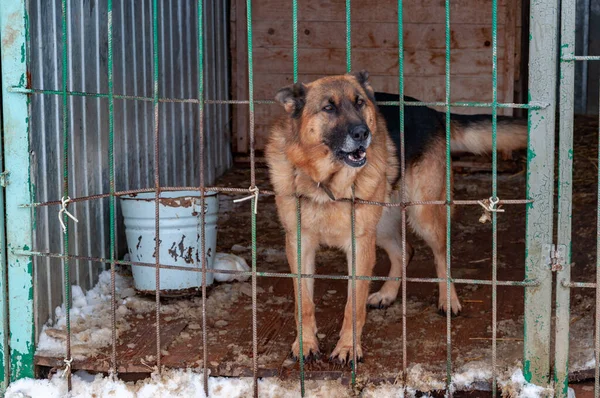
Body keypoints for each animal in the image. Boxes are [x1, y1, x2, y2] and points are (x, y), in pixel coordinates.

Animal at [264, 70, 528, 364]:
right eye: (328, 108)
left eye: (359, 103)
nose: (363, 133)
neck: (327, 183)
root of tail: (433, 112)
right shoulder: (299, 245)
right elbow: (304, 303)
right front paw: (306, 343)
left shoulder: (359, 246)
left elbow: (353, 305)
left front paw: (348, 348)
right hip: (380, 225)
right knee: (405, 250)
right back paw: (387, 295)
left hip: (423, 215)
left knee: (442, 255)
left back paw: (448, 300)